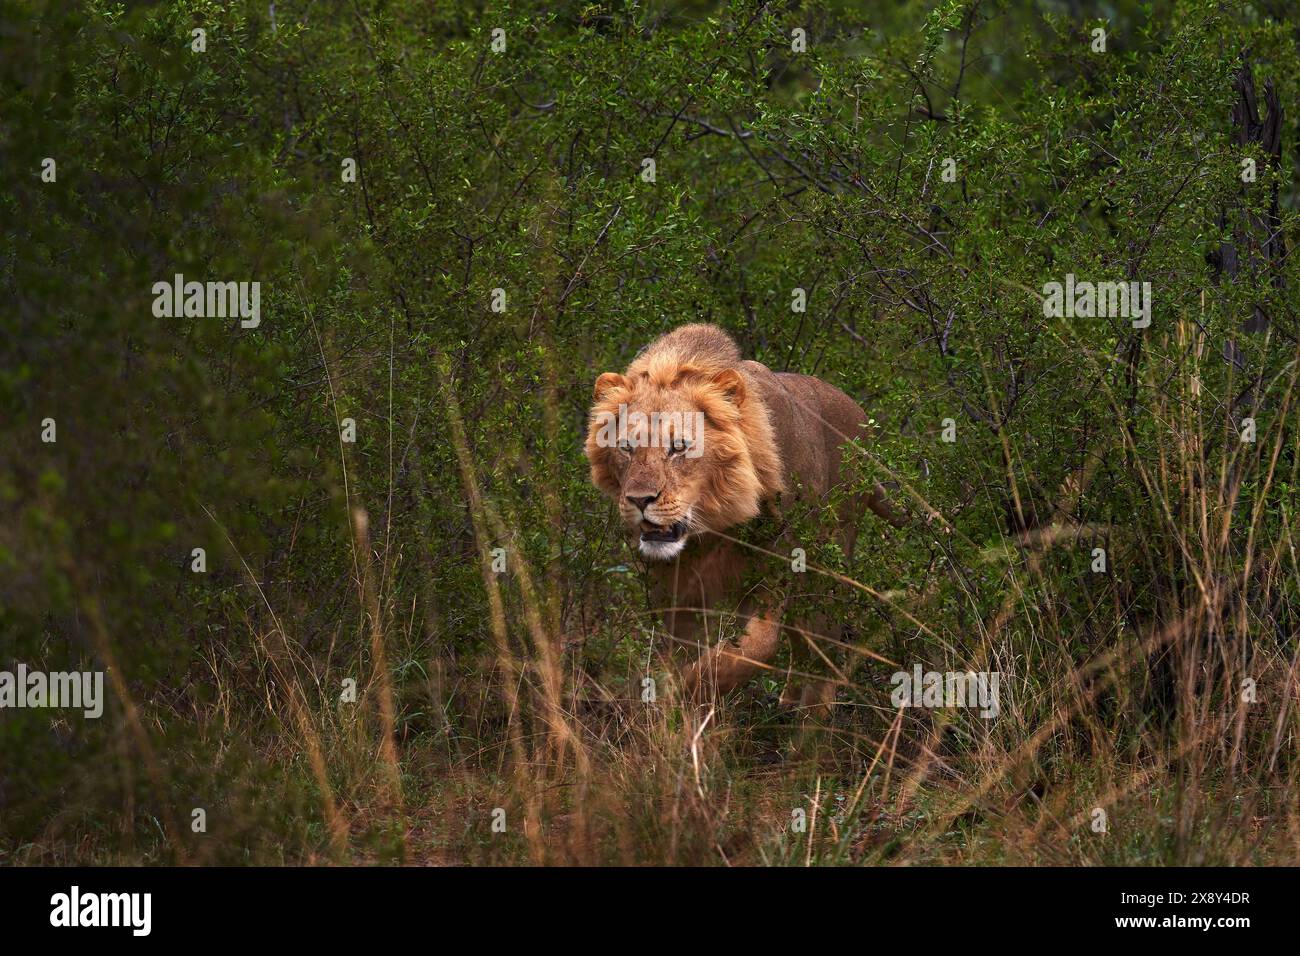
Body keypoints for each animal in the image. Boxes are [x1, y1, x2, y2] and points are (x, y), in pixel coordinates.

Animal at [585, 323, 898, 711]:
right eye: (626, 447)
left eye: (679, 447)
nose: (639, 499)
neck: (712, 530)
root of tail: (861, 419)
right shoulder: (677, 592)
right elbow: (678, 655)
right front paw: (672, 706)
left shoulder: (774, 571)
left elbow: (752, 650)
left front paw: (689, 689)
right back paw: (789, 703)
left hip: (829, 555)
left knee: (823, 640)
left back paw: (814, 717)